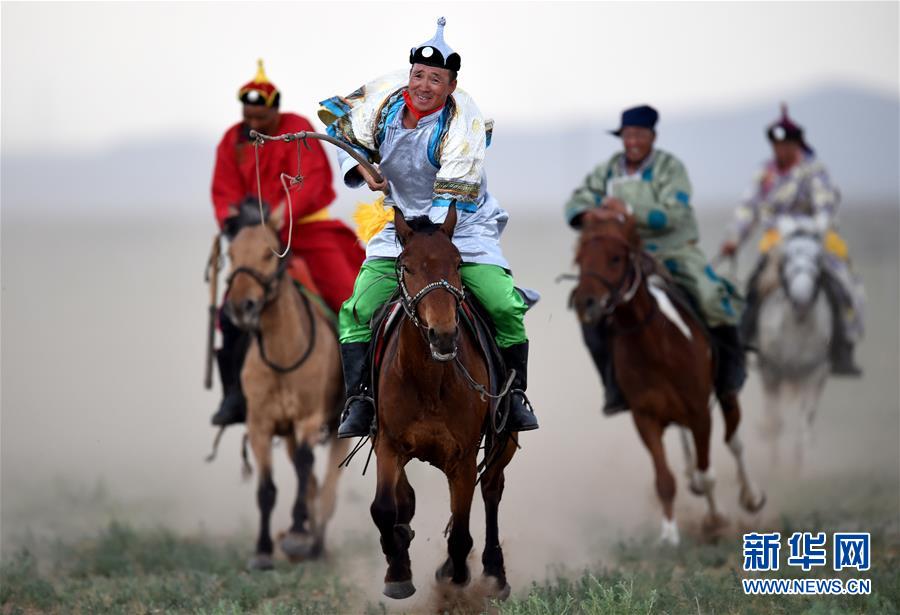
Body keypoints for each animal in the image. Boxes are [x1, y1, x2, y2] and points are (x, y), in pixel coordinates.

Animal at [224, 209, 348, 572]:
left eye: (268, 253)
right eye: (231, 254)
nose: (242, 306)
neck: (283, 355)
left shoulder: (308, 419)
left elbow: (307, 466)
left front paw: (296, 533)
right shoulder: (260, 426)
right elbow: (267, 489)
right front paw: (263, 550)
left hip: (338, 430)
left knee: (327, 489)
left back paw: (315, 544)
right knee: (313, 484)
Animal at [368, 205, 520, 600]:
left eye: (457, 263)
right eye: (407, 266)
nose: (444, 334)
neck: (428, 383)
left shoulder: (462, 459)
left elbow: (462, 533)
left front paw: (456, 578)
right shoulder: (388, 444)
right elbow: (386, 507)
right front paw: (398, 569)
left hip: (505, 440)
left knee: (492, 489)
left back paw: (494, 572)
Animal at [572, 209, 764, 548]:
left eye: (615, 258)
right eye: (580, 259)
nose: (586, 303)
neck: (656, 346)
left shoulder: (700, 413)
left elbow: (708, 471)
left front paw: (716, 519)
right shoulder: (645, 418)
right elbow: (664, 480)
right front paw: (669, 535)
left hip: (725, 395)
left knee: (734, 441)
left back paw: (751, 497)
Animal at [752, 217, 828, 466]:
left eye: (819, 259)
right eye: (786, 259)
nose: (802, 300)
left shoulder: (816, 373)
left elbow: (805, 424)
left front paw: (801, 468)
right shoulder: (771, 372)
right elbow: (776, 422)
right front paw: (774, 467)